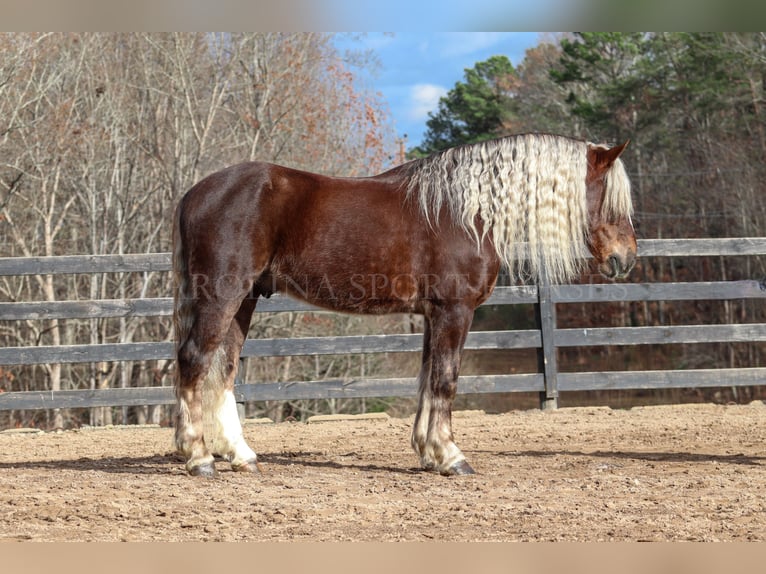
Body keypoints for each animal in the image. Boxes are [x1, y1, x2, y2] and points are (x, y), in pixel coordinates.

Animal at [171, 134, 640, 476]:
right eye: (610, 199)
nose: (626, 259)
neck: (465, 212)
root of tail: (196, 192)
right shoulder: (455, 311)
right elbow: (446, 380)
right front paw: (451, 457)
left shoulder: (433, 315)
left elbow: (427, 381)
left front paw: (428, 453)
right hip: (224, 293)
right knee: (194, 359)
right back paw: (199, 457)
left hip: (245, 299)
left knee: (224, 369)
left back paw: (241, 455)